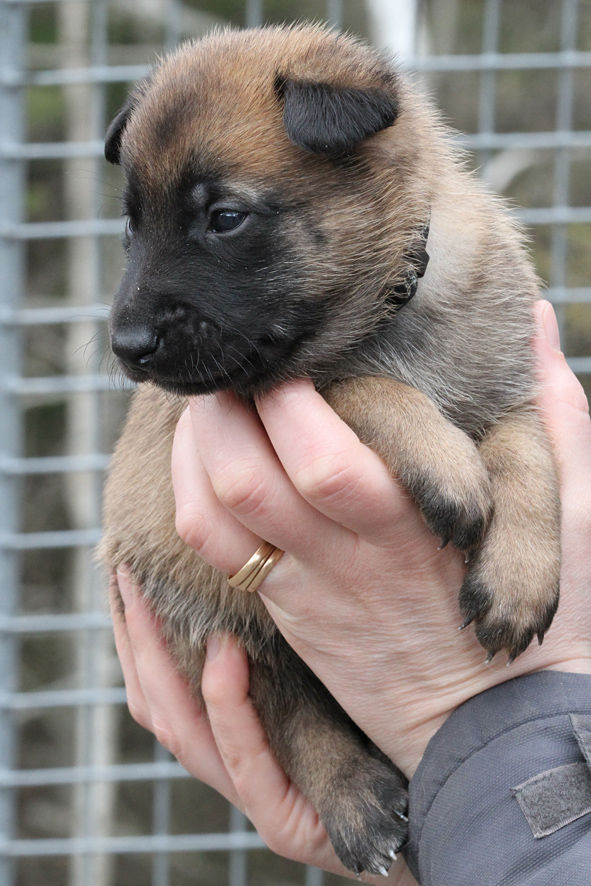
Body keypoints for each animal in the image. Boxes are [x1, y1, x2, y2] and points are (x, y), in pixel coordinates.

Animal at [100, 24, 560, 876]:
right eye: (131, 225)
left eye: (223, 217)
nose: (128, 346)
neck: (391, 310)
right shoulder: (283, 390)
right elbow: (360, 386)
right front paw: (447, 466)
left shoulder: (511, 386)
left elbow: (528, 452)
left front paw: (518, 578)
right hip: (201, 606)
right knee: (284, 698)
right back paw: (354, 799)